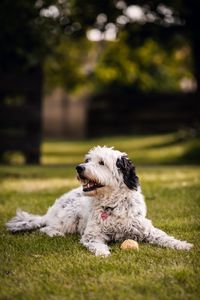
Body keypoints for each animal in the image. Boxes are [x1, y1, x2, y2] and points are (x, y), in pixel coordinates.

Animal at [5, 145, 193, 255]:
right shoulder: (92, 234)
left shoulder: (146, 229)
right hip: (70, 215)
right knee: (46, 228)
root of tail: (50, 212)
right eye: (87, 160)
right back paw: (55, 233)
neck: (113, 205)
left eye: (101, 162)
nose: (79, 167)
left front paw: (181, 245)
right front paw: (104, 253)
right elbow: (96, 244)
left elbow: (164, 237)